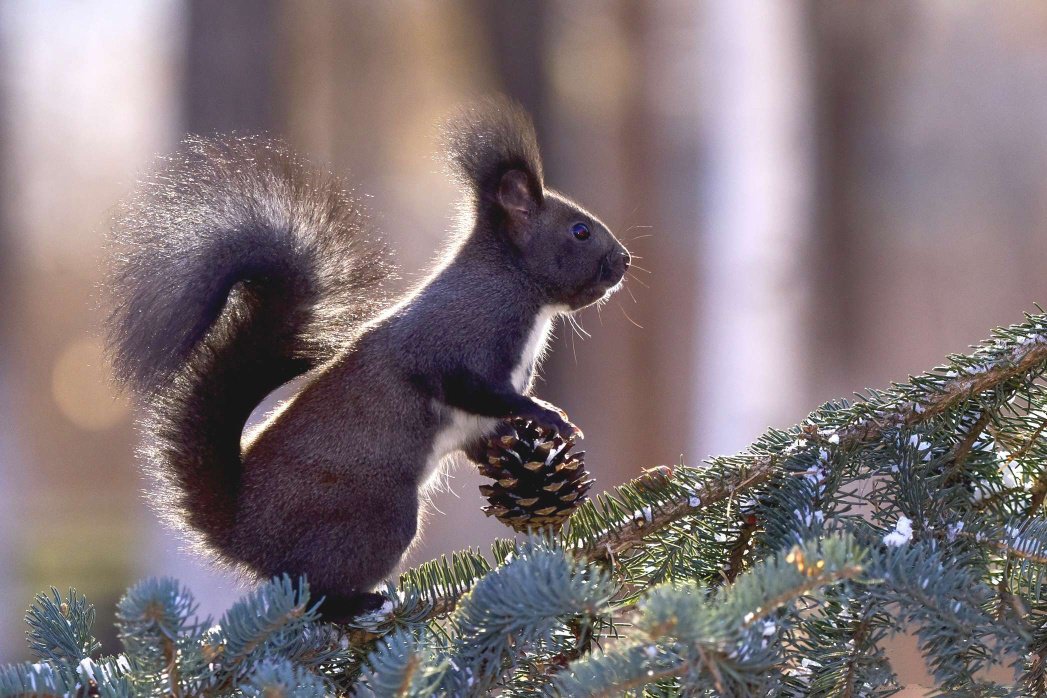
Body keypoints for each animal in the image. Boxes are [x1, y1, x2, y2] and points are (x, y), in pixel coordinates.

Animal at [106, 95, 628, 619]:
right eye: (580, 231)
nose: (624, 261)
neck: (517, 286)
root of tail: (243, 535)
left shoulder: (478, 421)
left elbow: (487, 434)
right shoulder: (458, 345)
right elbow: (473, 389)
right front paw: (549, 415)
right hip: (380, 520)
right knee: (315, 592)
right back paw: (361, 602)